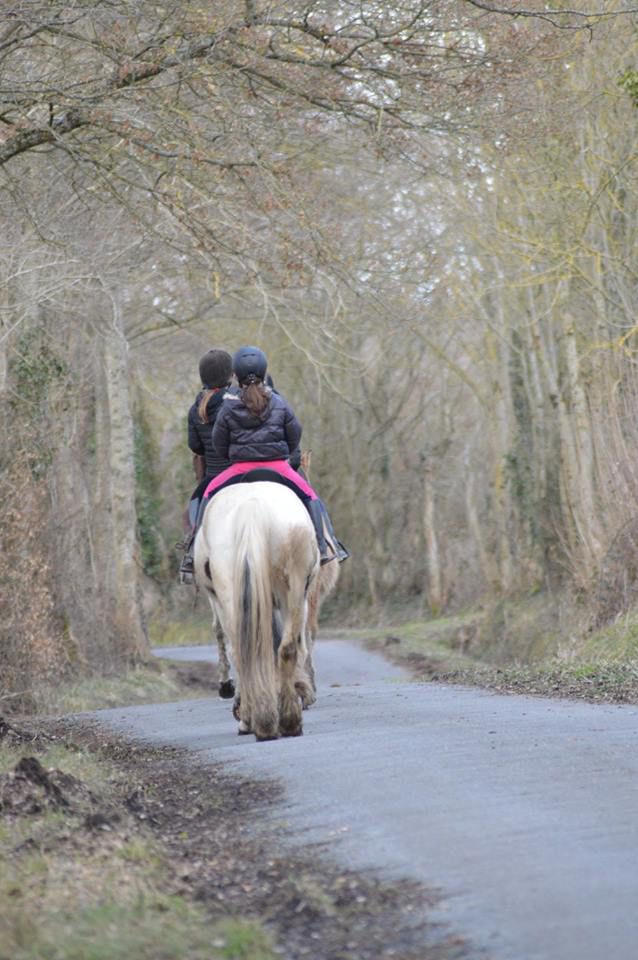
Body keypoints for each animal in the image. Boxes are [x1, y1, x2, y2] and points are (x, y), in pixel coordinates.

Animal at [194, 481, 319, 740]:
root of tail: (252, 508)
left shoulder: (218, 601)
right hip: (293, 590)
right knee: (286, 648)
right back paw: (287, 720)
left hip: (232, 595)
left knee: (243, 652)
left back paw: (255, 720)